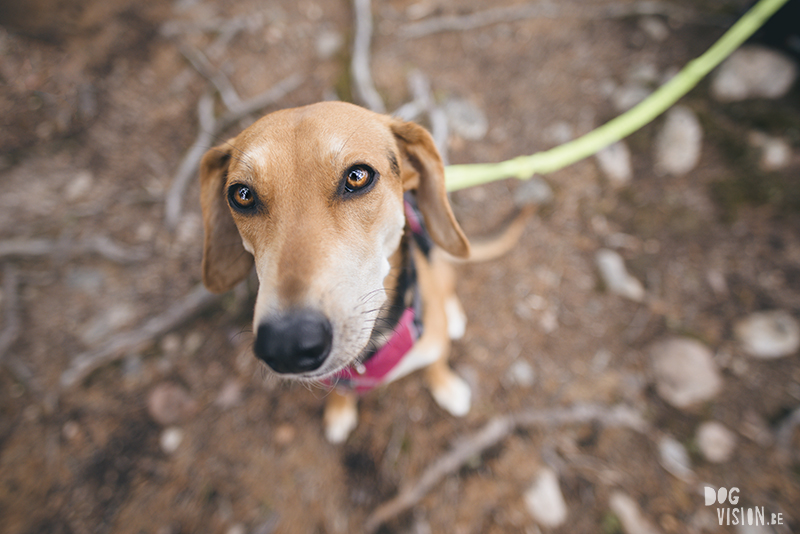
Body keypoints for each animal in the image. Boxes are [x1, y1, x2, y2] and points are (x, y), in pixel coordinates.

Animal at [199, 101, 528, 444]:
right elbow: (341, 390)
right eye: (242, 195)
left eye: (357, 177)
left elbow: (435, 364)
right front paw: (340, 411)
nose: (287, 344)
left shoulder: (431, 344)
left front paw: (447, 388)